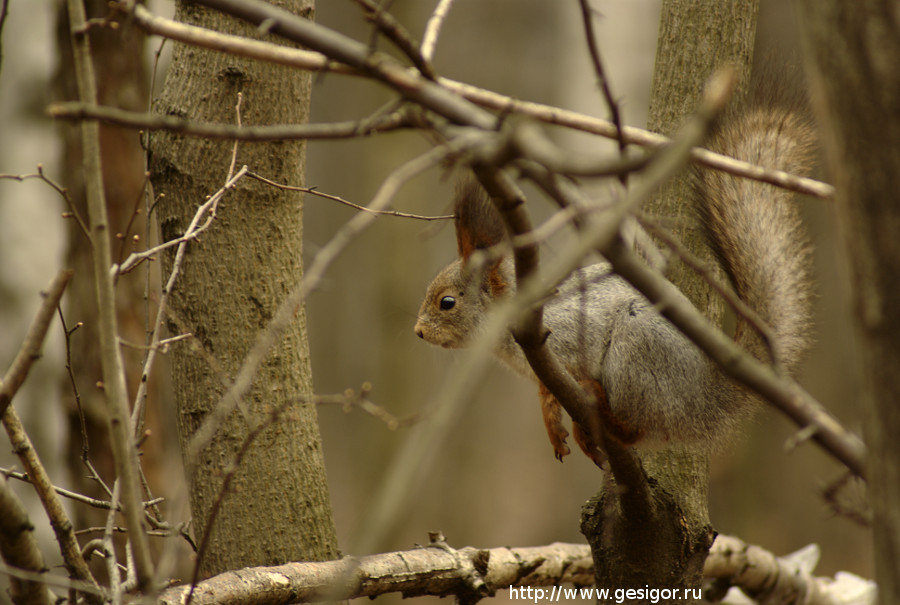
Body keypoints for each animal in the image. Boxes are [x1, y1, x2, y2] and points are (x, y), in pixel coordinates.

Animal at [414, 86, 816, 462]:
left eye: (447, 302)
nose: (418, 332)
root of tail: (706, 402)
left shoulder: (567, 337)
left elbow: (559, 378)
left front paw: (554, 412)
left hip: (636, 353)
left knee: (636, 427)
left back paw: (600, 412)